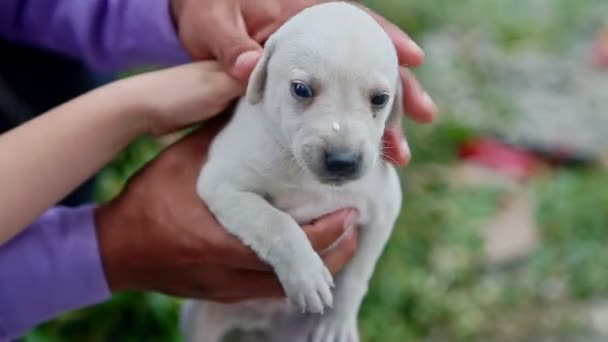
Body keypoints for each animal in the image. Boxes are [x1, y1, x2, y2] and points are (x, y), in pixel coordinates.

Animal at [183, 2, 406, 342]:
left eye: (380, 99)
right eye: (301, 90)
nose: (342, 160)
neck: (307, 177)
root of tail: (257, 323)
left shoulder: (385, 207)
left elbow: (358, 272)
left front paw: (338, 323)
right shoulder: (224, 185)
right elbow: (276, 222)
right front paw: (307, 275)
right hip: (198, 318)